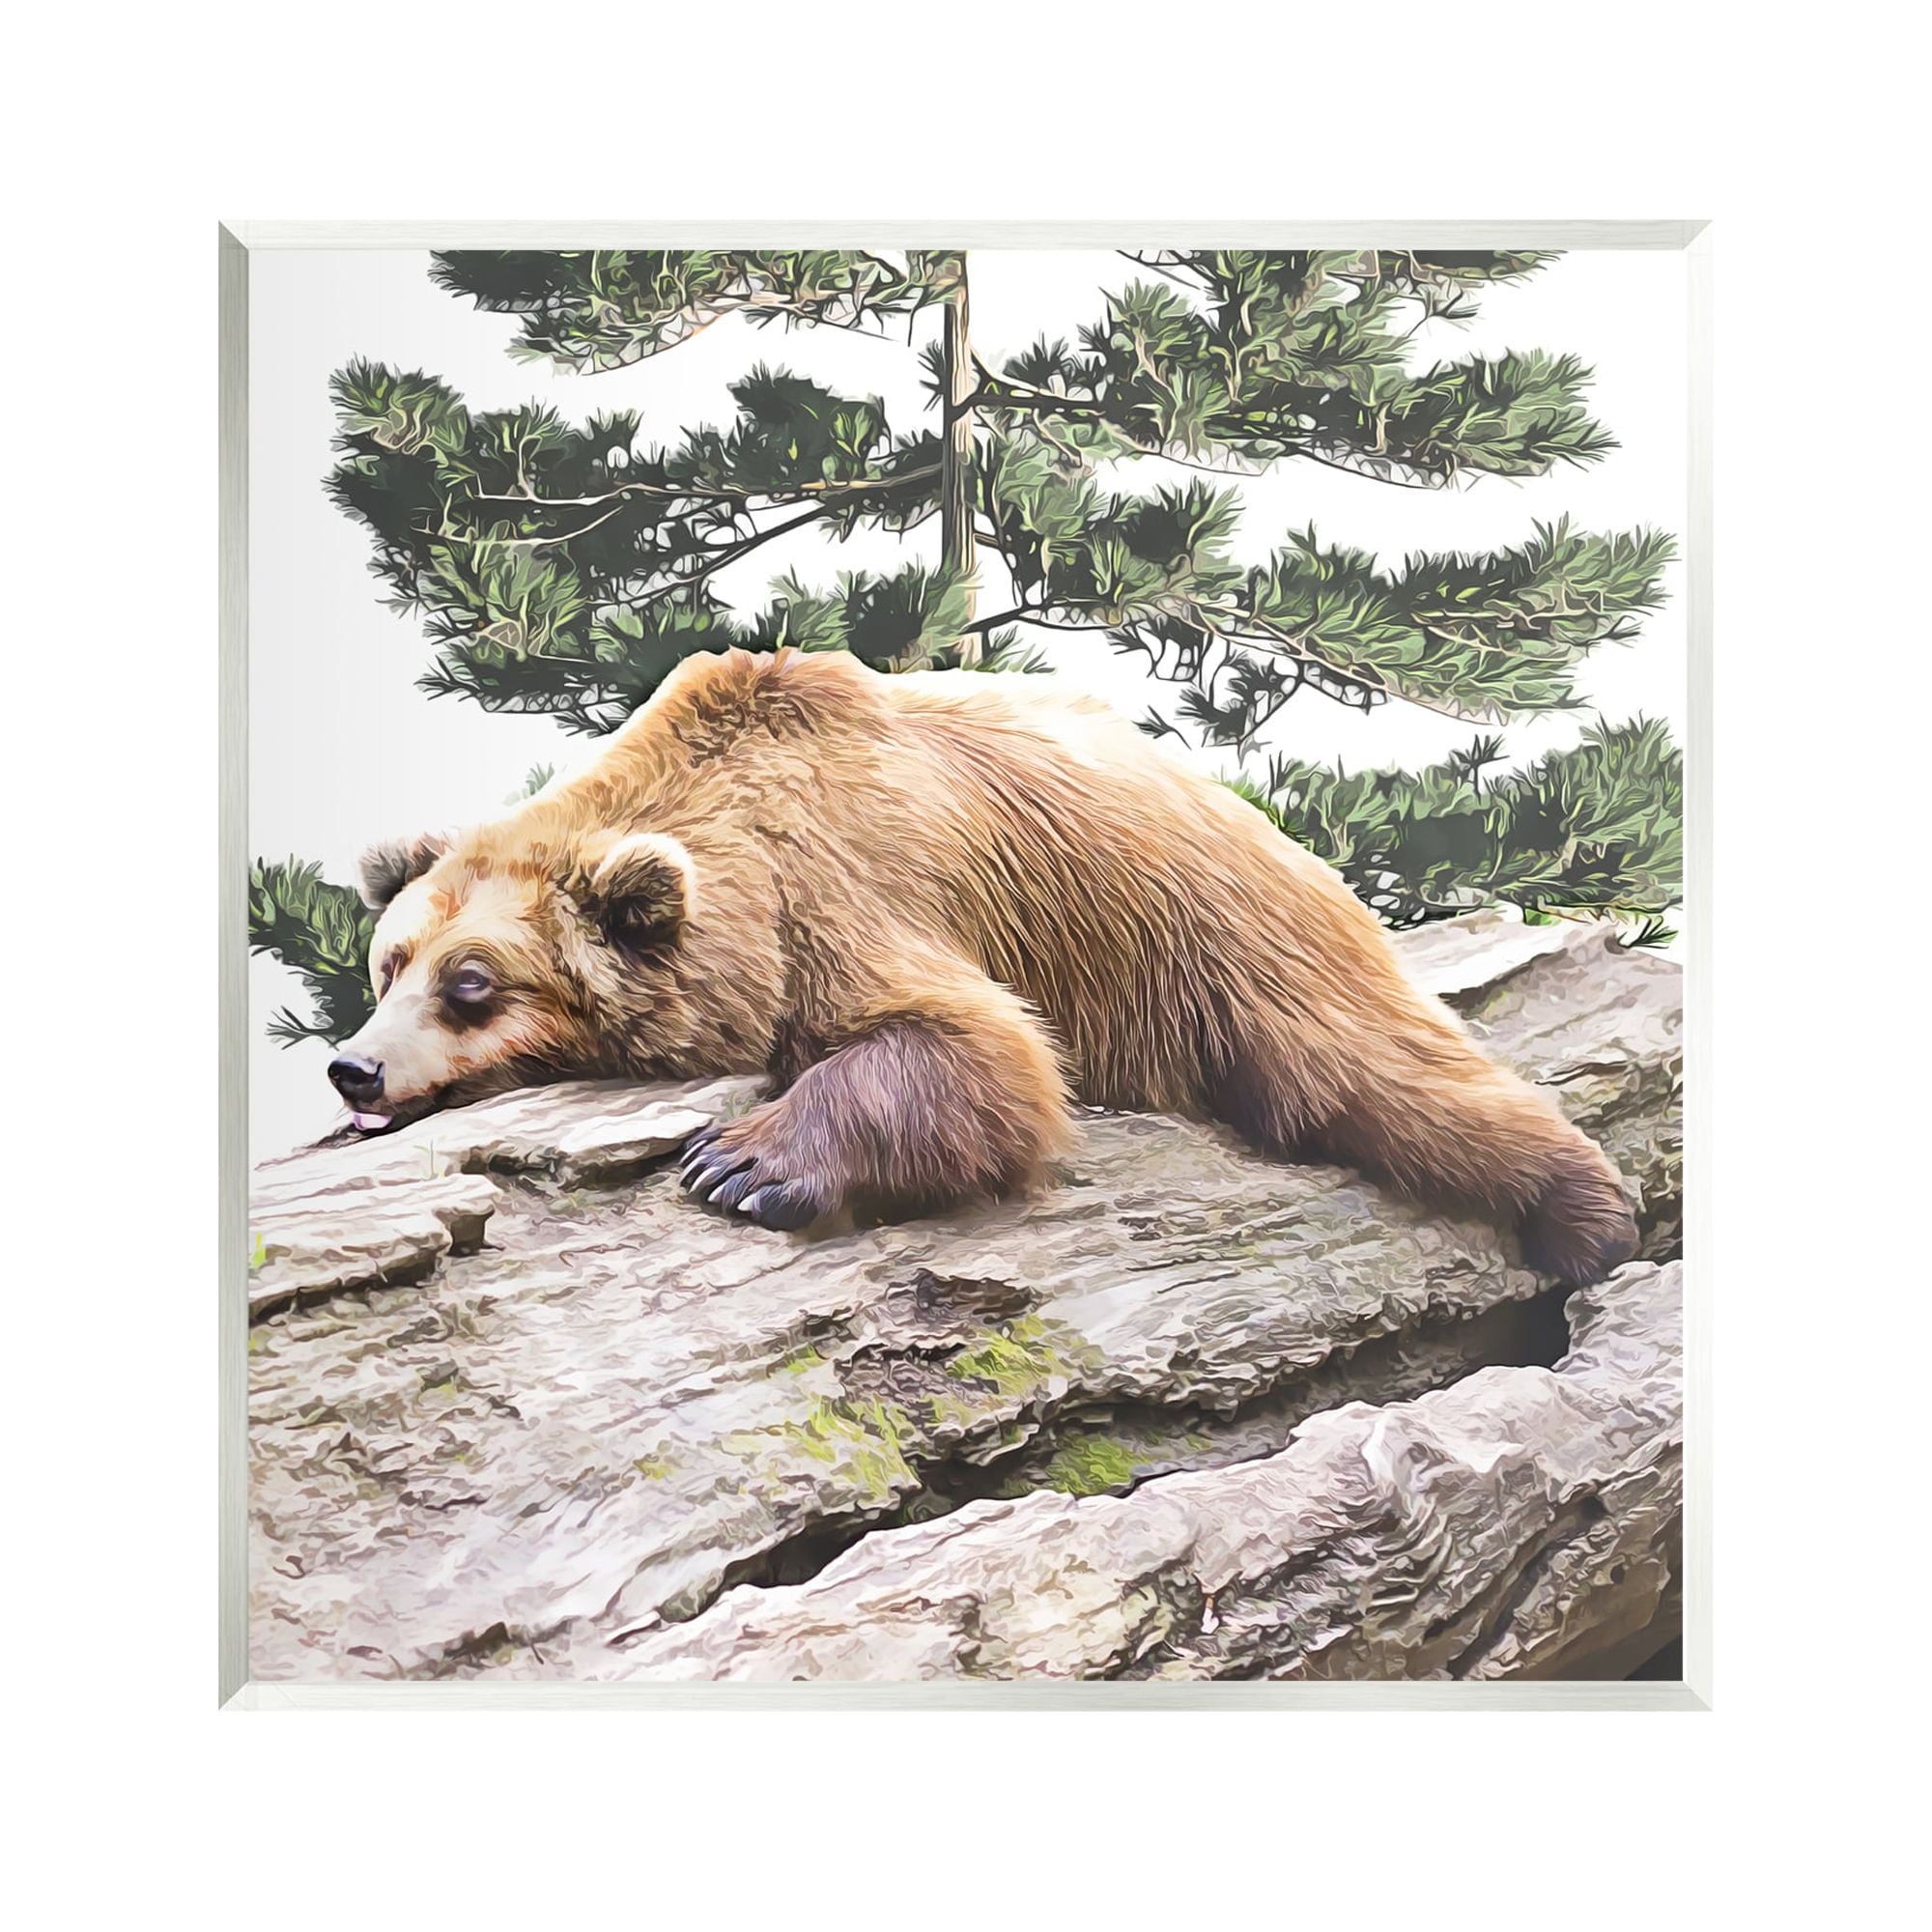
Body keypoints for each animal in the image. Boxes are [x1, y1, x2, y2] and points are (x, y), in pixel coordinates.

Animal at [330, 645, 1639, 1284]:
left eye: (473, 981)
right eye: (389, 960)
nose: (354, 1068)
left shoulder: (851, 880)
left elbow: (977, 1048)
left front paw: (740, 1164)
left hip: (1218, 931)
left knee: (1372, 1072)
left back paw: (1588, 1211)